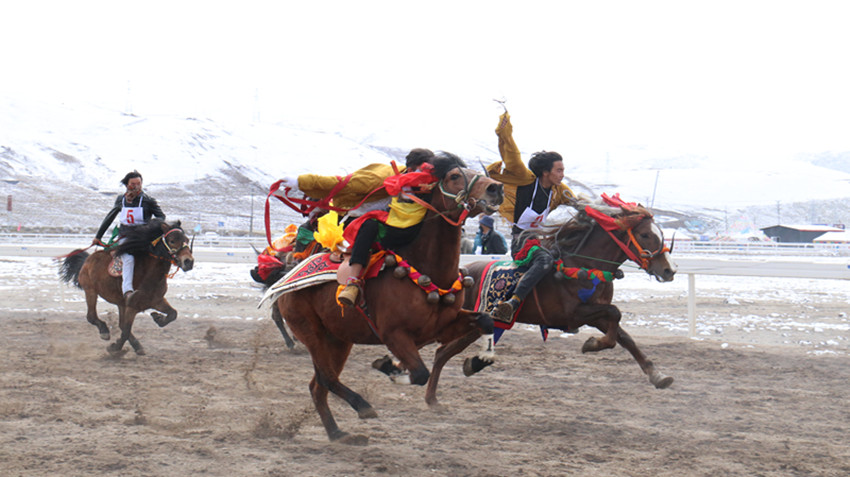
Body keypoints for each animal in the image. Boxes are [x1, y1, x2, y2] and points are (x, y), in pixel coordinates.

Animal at [59, 219, 194, 356]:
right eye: (172, 240)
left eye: (187, 240)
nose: (188, 261)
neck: (149, 275)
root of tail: (88, 259)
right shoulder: (132, 306)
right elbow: (125, 330)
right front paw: (114, 348)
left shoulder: (156, 300)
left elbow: (173, 314)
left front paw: (158, 318)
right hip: (91, 291)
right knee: (91, 316)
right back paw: (105, 331)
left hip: (120, 303)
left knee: (119, 324)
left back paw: (137, 345)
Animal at [275, 153, 504, 444]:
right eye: (454, 176)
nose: (496, 188)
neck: (430, 269)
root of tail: (289, 273)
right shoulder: (393, 333)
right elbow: (419, 373)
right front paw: (390, 368)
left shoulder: (442, 327)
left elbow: (485, 321)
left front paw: (478, 360)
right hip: (310, 331)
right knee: (326, 378)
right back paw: (362, 406)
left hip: (338, 339)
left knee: (318, 385)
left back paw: (338, 433)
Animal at [407, 196, 678, 408]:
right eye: (645, 234)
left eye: (660, 234)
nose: (669, 270)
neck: (584, 267)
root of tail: (459, 275)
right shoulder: (572, 316)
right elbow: (615, 314)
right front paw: (592, 344)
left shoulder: (595, 315)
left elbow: (623, 335)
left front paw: (657, 375)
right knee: (434, 348)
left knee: (441, 352)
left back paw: (438, 392)